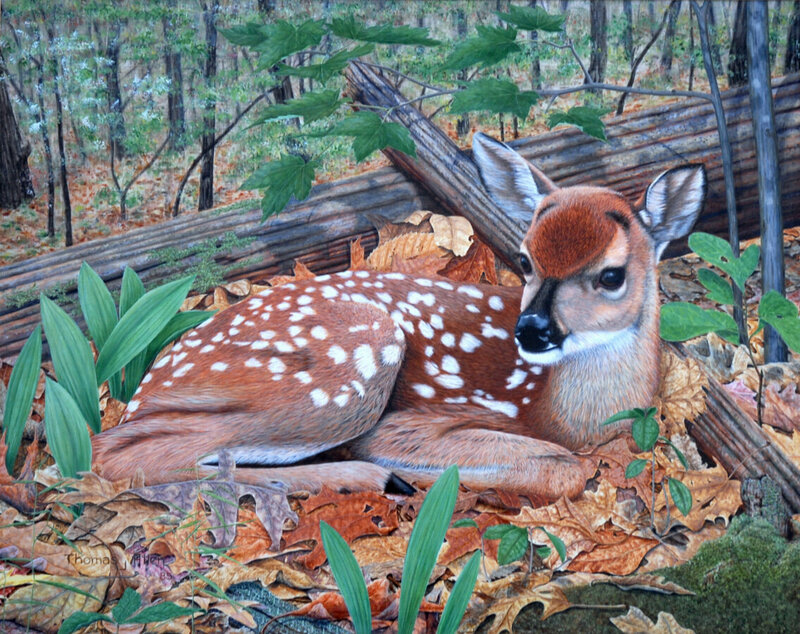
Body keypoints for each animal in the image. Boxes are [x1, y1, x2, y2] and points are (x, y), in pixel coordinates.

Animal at [91, 133, 706, 502]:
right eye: (525, 259)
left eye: (611, 275)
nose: (531, 330)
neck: (560, 410)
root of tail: (147, 383)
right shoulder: (419, 418)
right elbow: (564, 469)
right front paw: (412, 472)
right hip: (345, 375)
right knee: (121, 455)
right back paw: (370, 476)